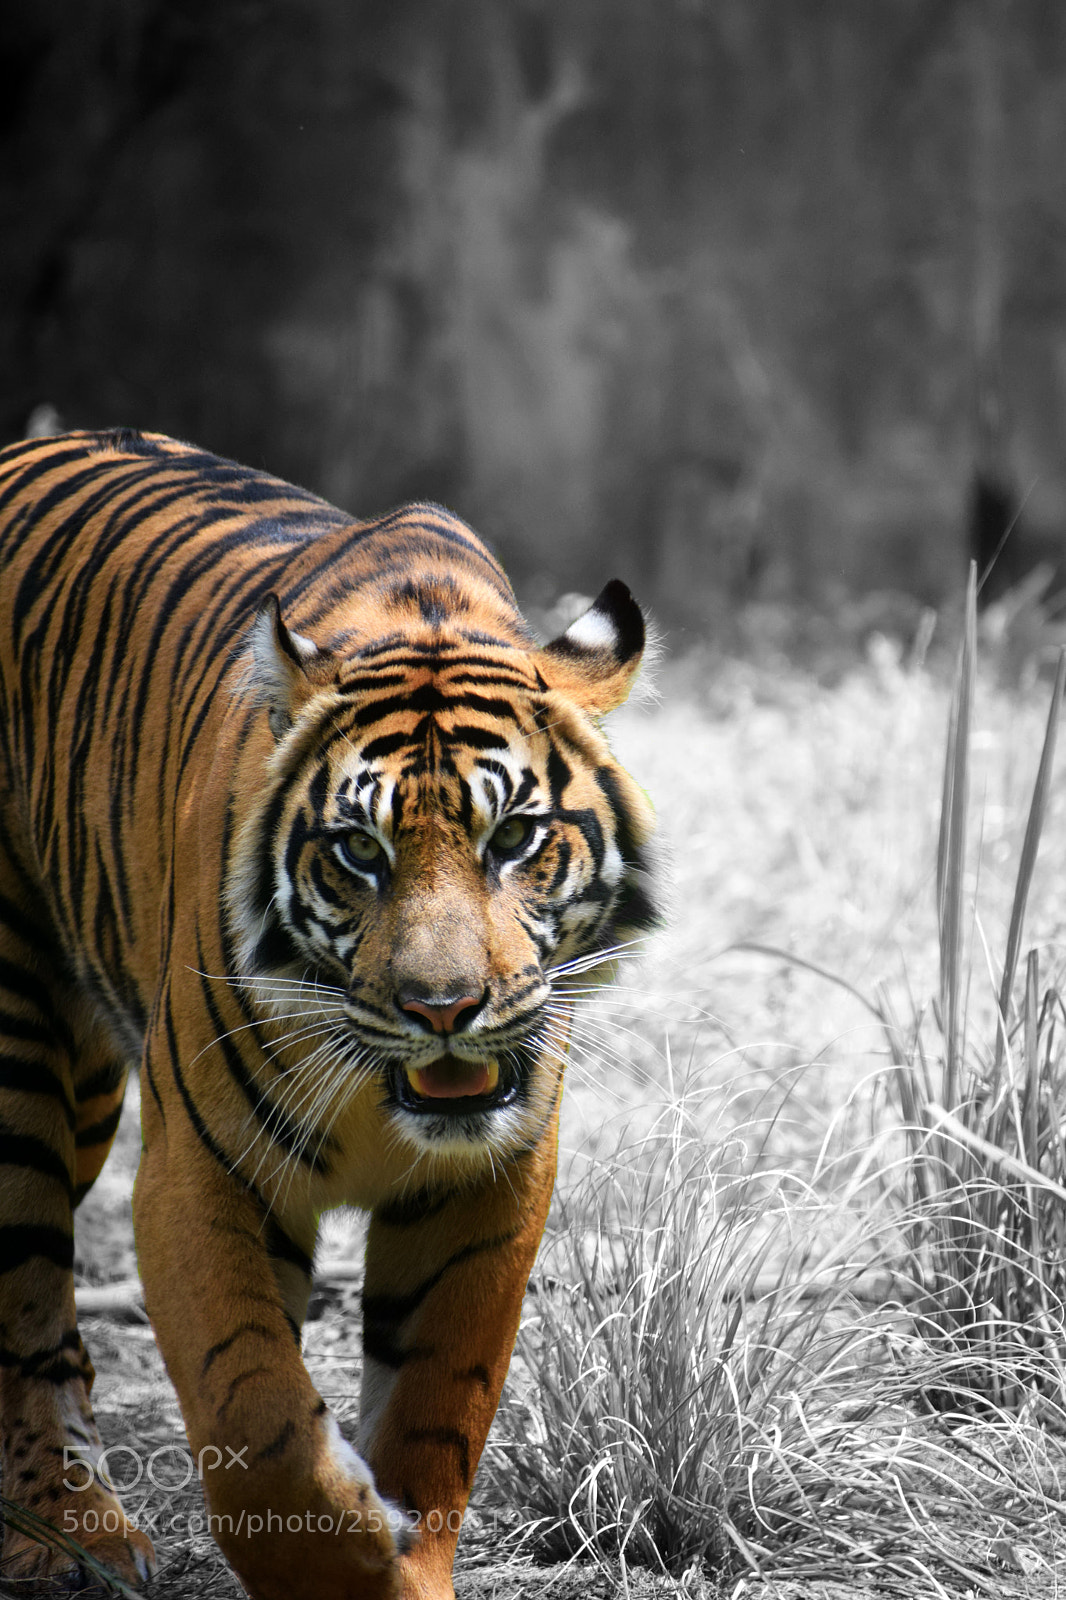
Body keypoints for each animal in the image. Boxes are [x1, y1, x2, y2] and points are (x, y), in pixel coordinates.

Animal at [0, 429, 657, 1599]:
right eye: (359, 849)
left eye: (515, 837)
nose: (444, 1007)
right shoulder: (201, 1170)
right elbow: (258, 1422)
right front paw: (346, 1556)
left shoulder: (488, 1184)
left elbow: (436, 1408)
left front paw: (408, 1557)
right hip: (24, 1053)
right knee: (29, 1305)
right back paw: (70, 1537)